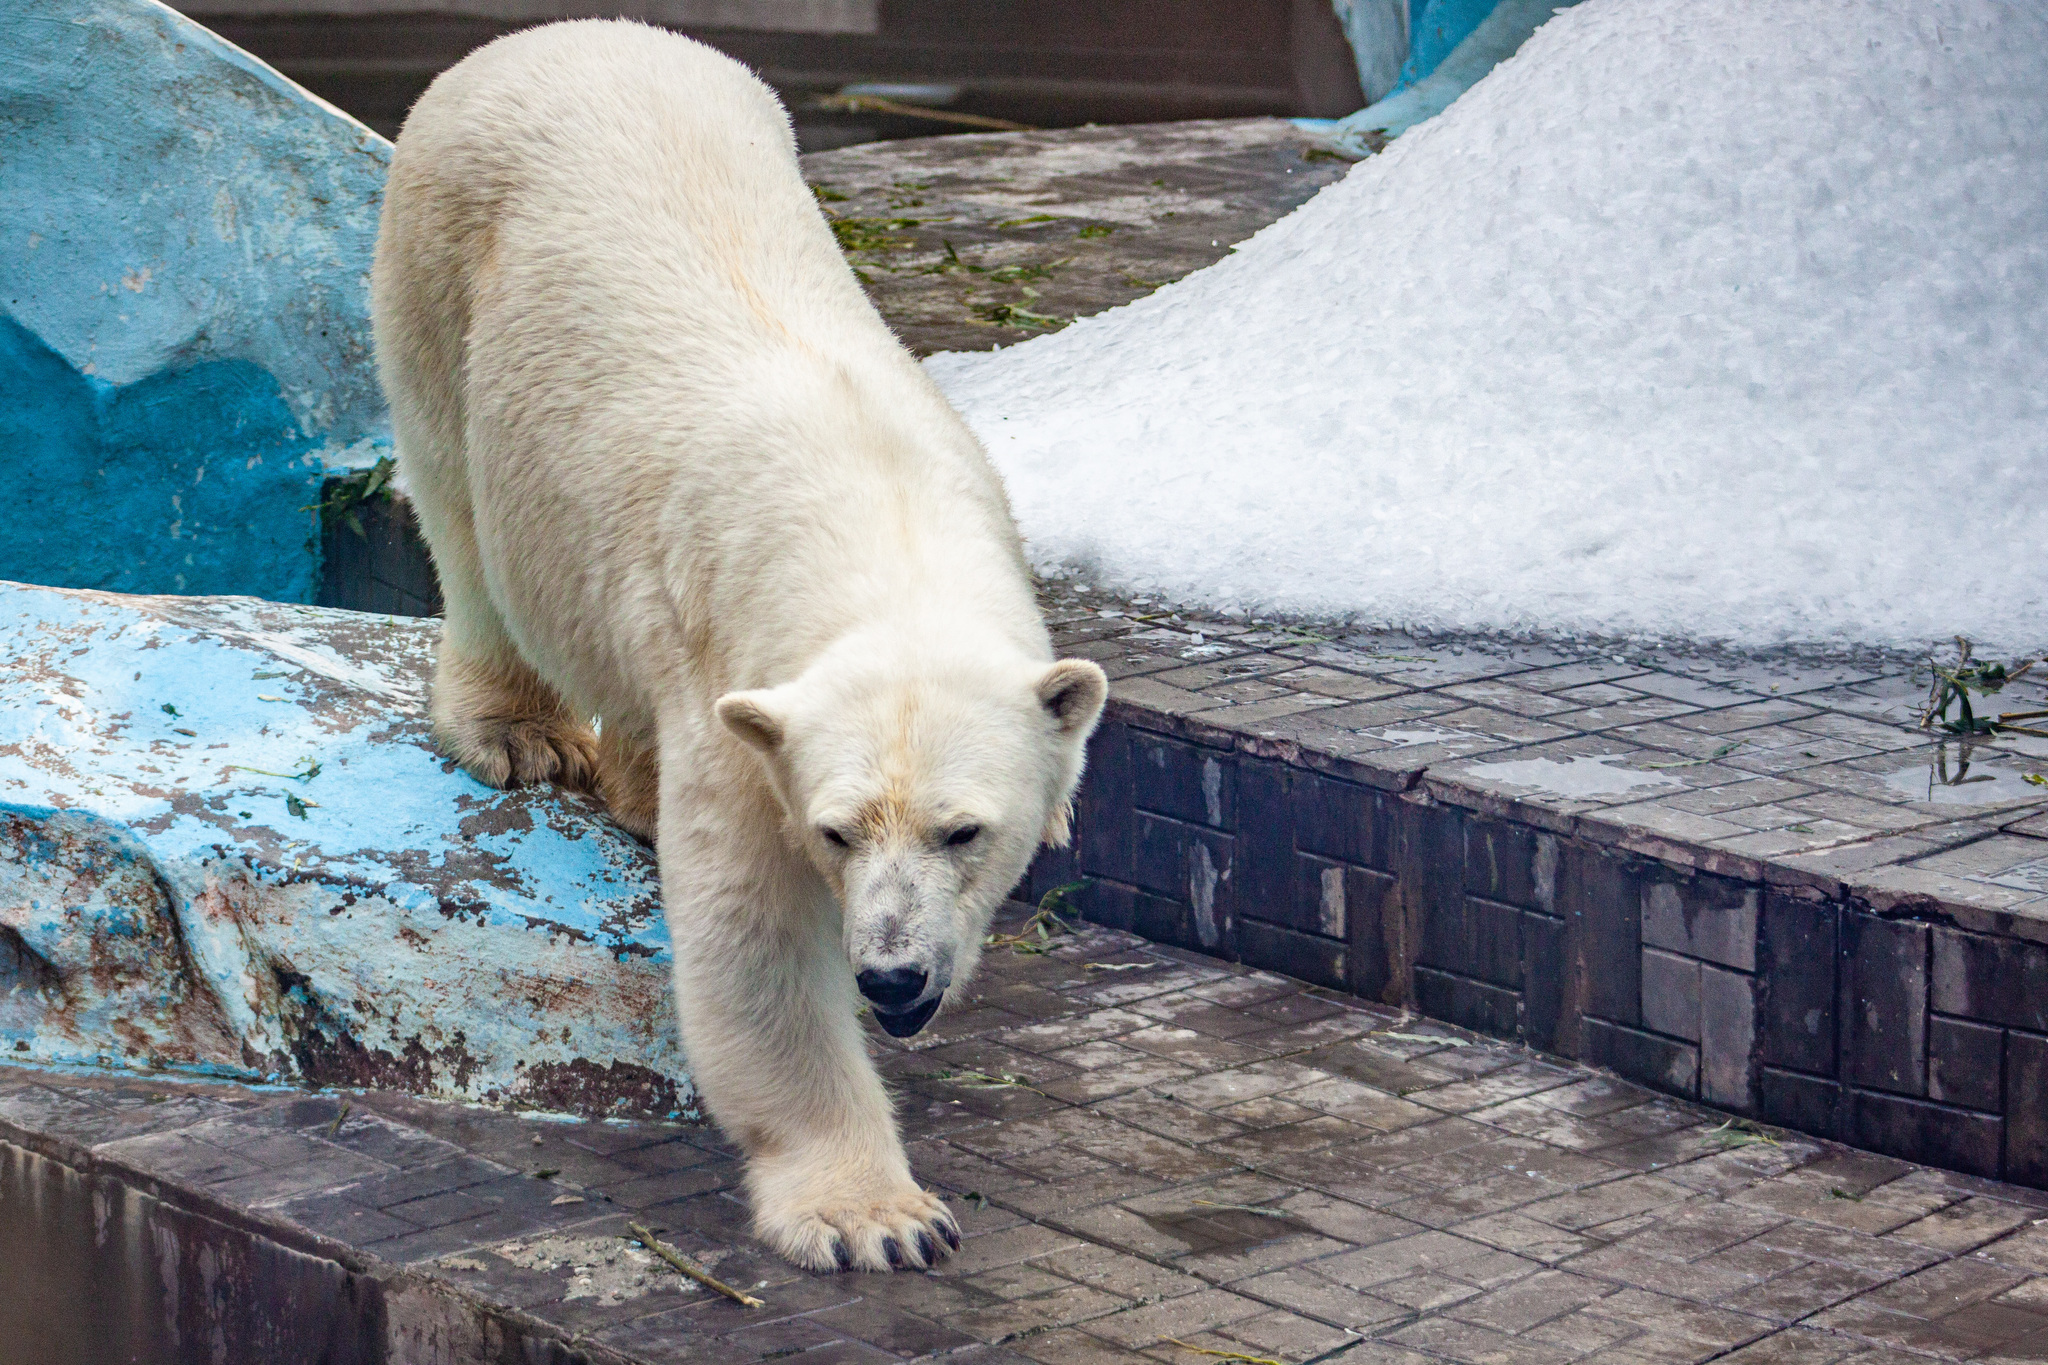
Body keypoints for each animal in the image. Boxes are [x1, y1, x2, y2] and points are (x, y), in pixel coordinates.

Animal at [368, 21, 1105, 1277]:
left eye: (964, 831)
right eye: (835, 830)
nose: (892, 977)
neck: (876, 513)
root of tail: (552, 36)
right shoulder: (738, 689)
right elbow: (752, 944)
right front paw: (877, 1218)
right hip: (438, 267)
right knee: (460, 509)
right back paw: (519, 731)